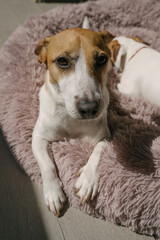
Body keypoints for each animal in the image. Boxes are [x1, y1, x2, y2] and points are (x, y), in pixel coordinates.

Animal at [31, 18, 114, 216]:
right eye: (62, 61)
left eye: (102, 59)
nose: (89, 108)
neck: (71, 119)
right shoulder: (38, 138)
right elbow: (47, 164)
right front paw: (53, 193)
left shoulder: (106, 137)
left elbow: (98, 151)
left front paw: (87, 179)